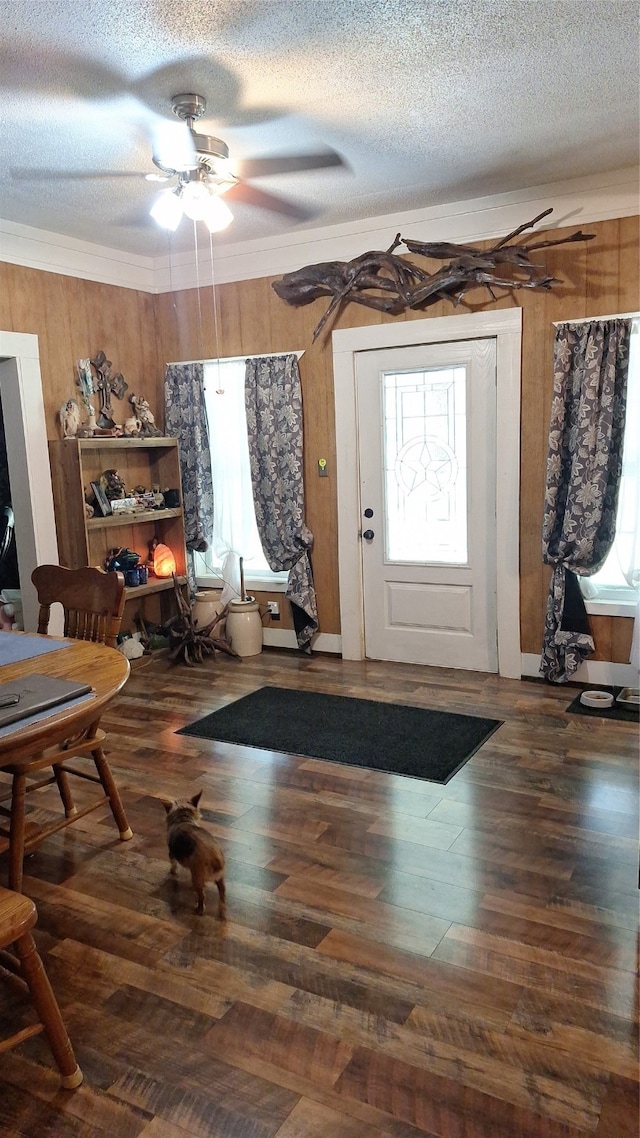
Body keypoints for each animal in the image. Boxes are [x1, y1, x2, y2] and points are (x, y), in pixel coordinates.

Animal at [162, 787, 225, 919]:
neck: (183, 819)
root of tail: (215, 858)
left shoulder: (172, 854)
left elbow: (173, 865)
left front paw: (172, 872)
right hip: (219, 878)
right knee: (222, 892)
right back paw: (222, 909)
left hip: (197, 877)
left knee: (202, 896)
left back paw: (199, 910)